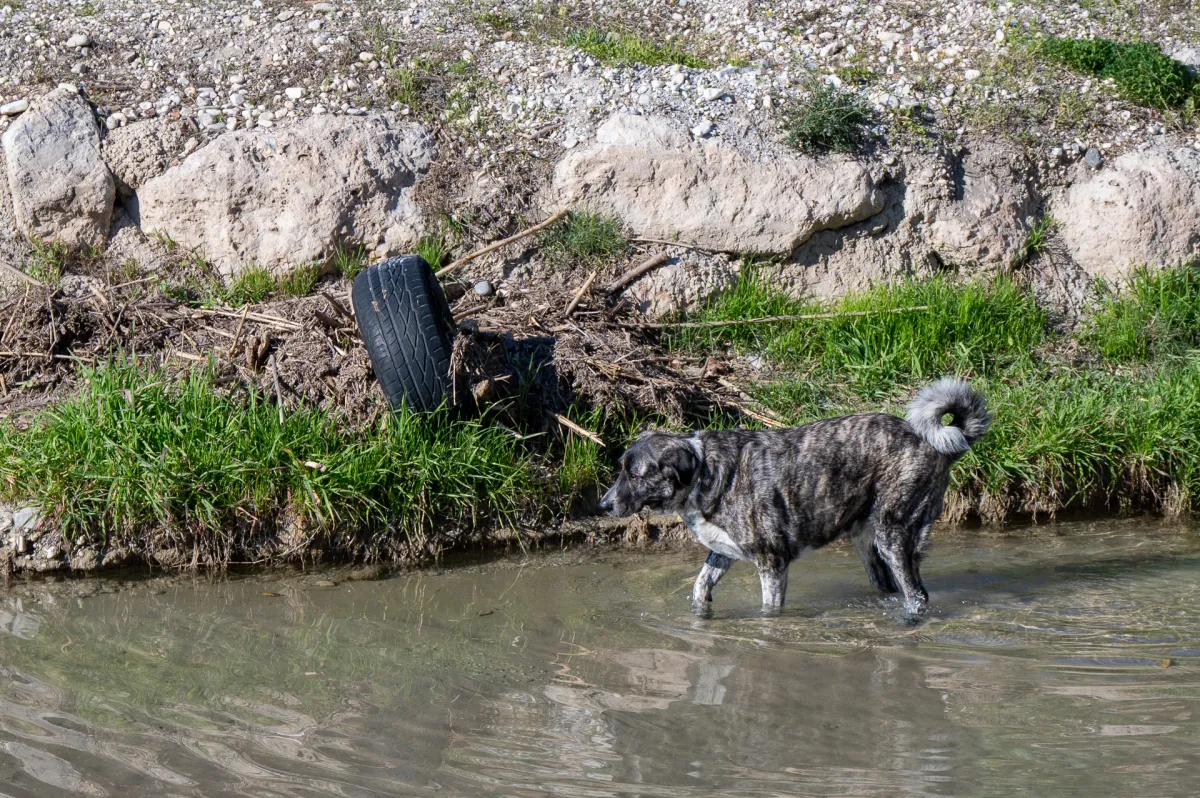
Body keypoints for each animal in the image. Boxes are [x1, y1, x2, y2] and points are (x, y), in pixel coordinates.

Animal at [595, 379, 988, 614]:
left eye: (635, 474)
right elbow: (699, 588)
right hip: (869, 545)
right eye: (620, 469)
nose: (603, 504)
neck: (705, 473)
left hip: (894, 536)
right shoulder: (722, 554)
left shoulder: (772, 563)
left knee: (918, 596)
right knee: (892, 588)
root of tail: (936, 444)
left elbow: (769, 611)